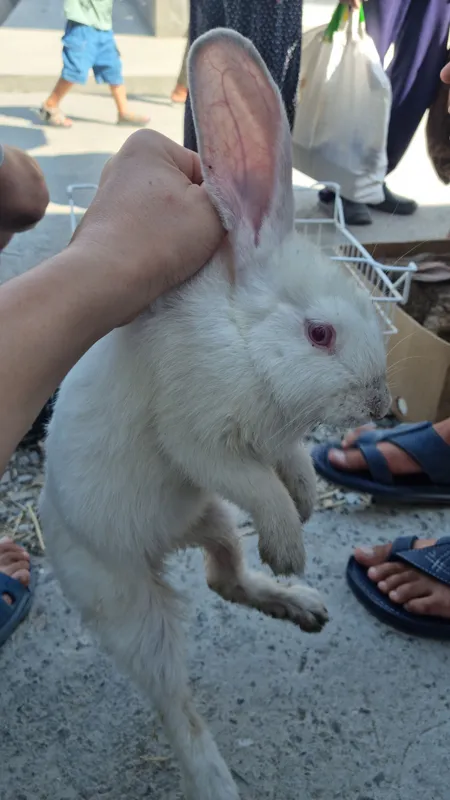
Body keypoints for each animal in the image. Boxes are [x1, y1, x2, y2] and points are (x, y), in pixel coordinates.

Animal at [39, 28, 390, 800]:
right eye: (320, 334)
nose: (381, 403)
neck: (242, 337)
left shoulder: (269, 442)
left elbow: (288, 464)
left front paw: (309, 506)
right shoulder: (202, 444)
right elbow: (259, 482)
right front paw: (292, 541)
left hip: (210, 518)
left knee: (221, 577)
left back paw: (302, 606)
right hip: (129, 603)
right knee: (175, 702)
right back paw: (216, 780)